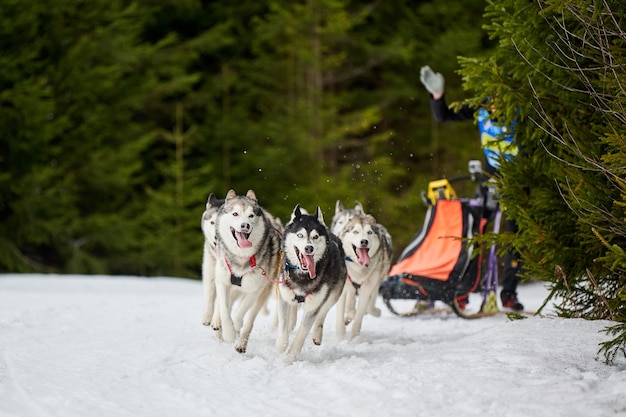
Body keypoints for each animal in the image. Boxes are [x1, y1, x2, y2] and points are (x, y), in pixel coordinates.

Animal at [216, 188, 282, 352]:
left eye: (251, 215)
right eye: (235, 214)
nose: (245, 225)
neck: (241, 258)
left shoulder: (255, 290)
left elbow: (241, 312)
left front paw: (235, 327)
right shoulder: (223, 282)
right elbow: (224, 309)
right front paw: (228, 331)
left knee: (249, 318)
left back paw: (241, 342)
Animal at [276, 205, 346, 358]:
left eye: (315, 236)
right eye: (300, 235)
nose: (309, 248)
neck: (303, 275)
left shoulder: (314, 305)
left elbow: (302, 333)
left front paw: (289, 358)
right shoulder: (284, 298)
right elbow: (283, 327)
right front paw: (281, 348)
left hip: (333, 295)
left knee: (322, 314)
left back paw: (317, 334)